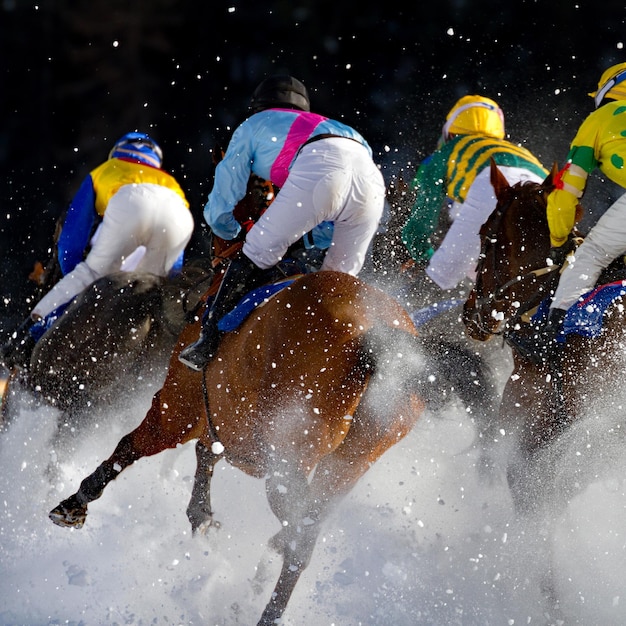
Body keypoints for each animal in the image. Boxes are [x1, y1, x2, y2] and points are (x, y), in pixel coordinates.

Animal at [51, 270, 494, 624]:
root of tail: (380, 337)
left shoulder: (179, 406)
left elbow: (133, 446)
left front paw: (76, 502)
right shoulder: (220, 420)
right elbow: (204, 455)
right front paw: (202, 517)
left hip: (288, 461)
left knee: (298, 540)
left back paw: (266, 608)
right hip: (347, 463)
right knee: (305, 532)